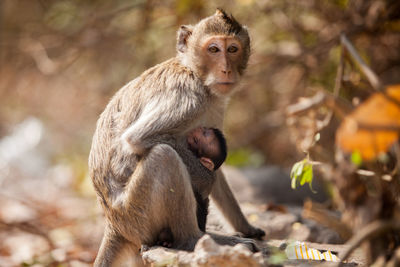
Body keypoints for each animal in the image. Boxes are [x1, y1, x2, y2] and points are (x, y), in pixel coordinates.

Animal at [90, 8, 266, 267]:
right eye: (214, 49)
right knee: (165, 156)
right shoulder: (187, 96)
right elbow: (138, 139)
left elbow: (217, 166)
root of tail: (113, 225)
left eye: (233, 49)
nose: (226, 69)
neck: (195, 72)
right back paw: (193, 240)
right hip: (137, 214)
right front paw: (206, 180)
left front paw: (247, 227)